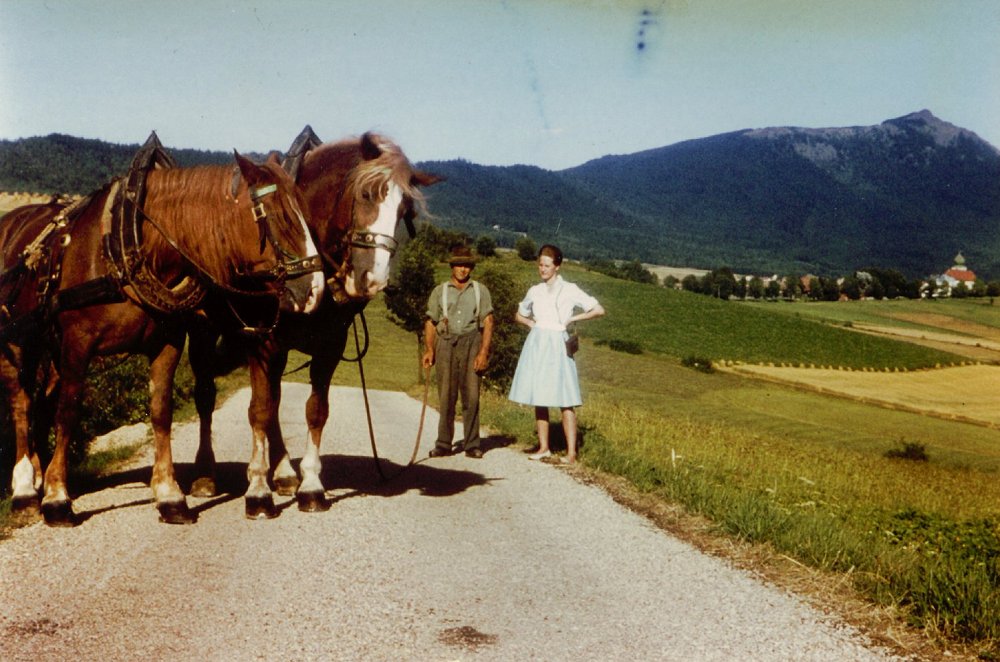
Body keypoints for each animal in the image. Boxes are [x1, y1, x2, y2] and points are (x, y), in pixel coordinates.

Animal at [0, 148, 322, 528]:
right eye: (278, 215)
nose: (315, 289)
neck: (126, 249)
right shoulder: (77, 344)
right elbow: (68, 412)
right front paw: (57, 499)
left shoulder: (167, 342)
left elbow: (160, 411)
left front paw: (170, 495)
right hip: (18, 341)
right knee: (21, 402)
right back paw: (24, 489)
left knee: (40, 400)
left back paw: (36, 475)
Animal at [187, 131, 438, 520]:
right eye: (367, 194)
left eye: (404, 211)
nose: (372, 279)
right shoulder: (262, 344)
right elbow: (259, 410)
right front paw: (257, 491)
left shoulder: (328, 347)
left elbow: (314, 411)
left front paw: (310, 486)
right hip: (202, 332)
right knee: (206, 395)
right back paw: (205, 475)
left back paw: (284, 473)